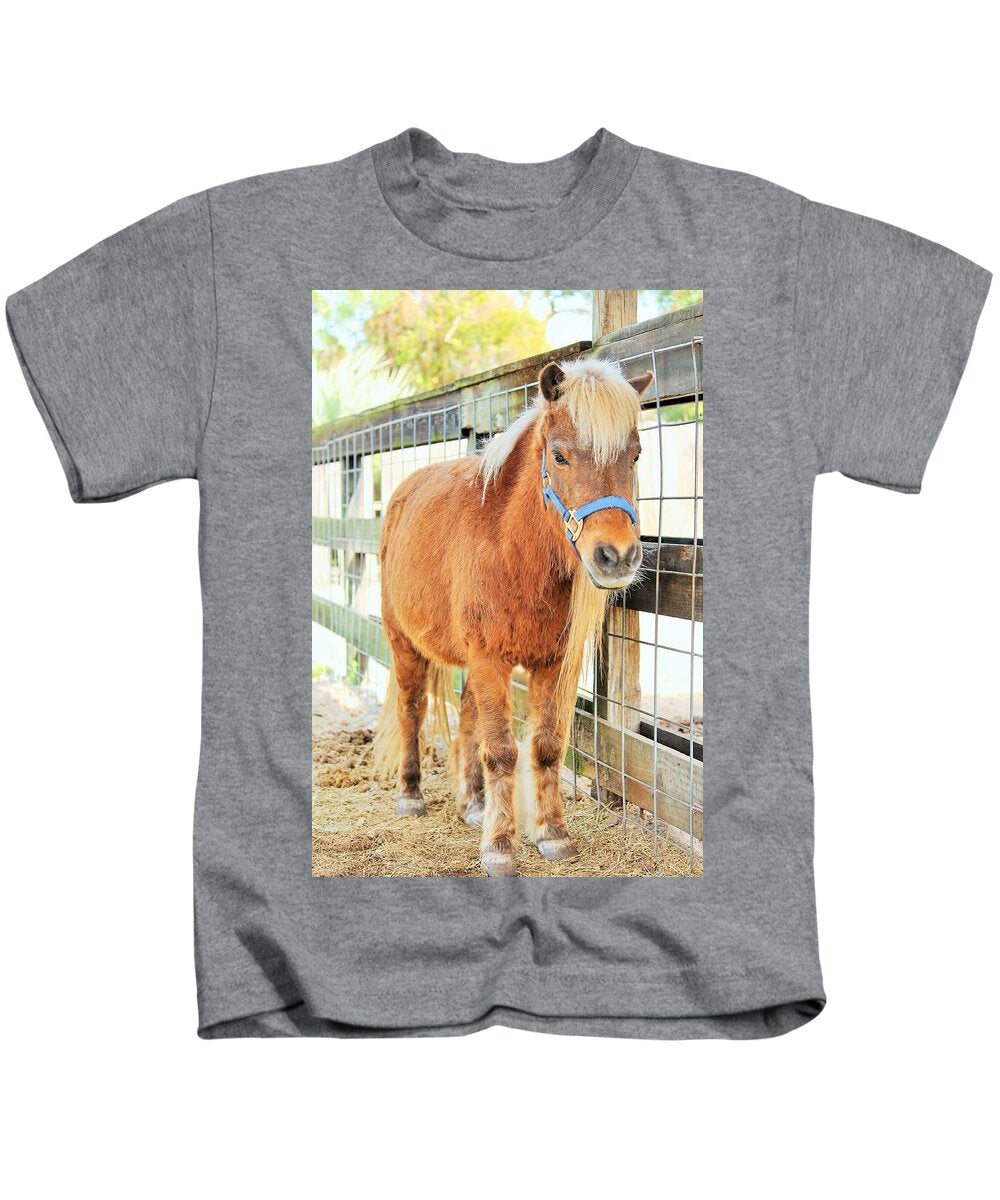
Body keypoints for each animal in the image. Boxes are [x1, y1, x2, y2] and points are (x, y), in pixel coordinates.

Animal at [373, 357, 653, 876]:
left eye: (636, 456)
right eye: (559, 457)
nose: (617, 557)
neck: (513, 551)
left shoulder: (551, 665)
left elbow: (544, 747)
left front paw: (552, 834)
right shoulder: (490, 659)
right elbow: (502, 752)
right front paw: (500, 847)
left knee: (466, 719)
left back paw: (472, 804)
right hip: (404, 643)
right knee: (412, 710)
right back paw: (411, 793)